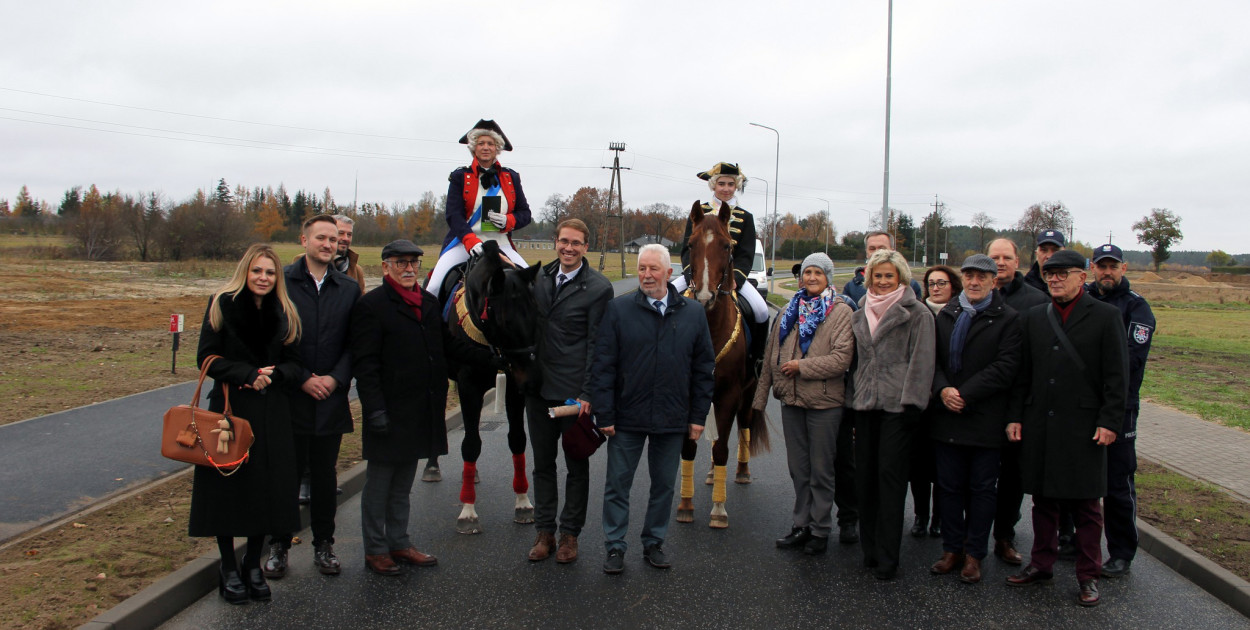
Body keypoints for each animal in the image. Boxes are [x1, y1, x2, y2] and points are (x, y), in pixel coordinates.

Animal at [680, 200, 765, 527]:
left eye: (728, 246)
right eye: (691, 244)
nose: (705, 297)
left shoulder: (729, 394)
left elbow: (721, 448)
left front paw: (718, 509)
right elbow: (690, 445)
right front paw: (686, 505)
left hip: (748, 393)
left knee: (743, 427)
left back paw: (741, 472)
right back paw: (709, 475)